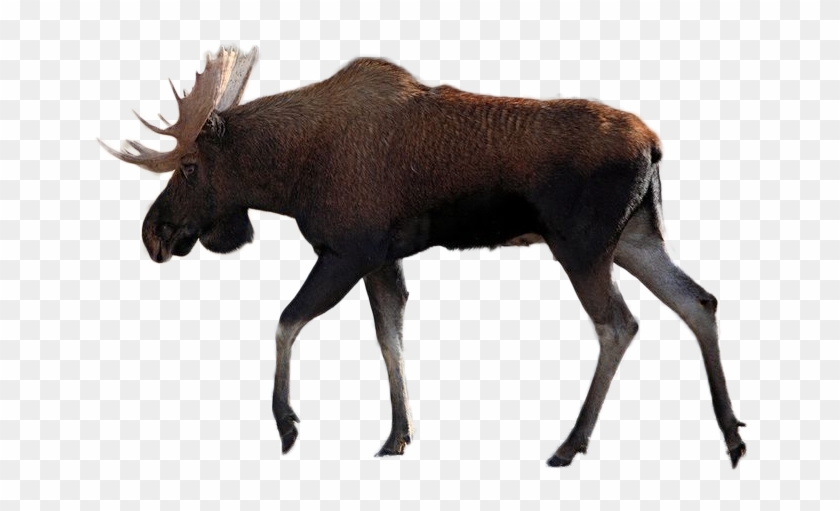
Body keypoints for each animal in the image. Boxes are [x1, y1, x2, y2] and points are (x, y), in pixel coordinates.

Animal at [99, 47, 746, 468]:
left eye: (188, 167)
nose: (153, 235)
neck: (286, 175)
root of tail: (654, 145)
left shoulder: (346, 251)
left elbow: (286, 322)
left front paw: (286, 423)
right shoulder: (382, 259)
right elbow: (390, 337)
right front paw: (397, 435)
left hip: (582, 247)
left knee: (619, 325)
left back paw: (570, 444)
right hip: (636, 239)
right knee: (699, 301)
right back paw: (731, 434)